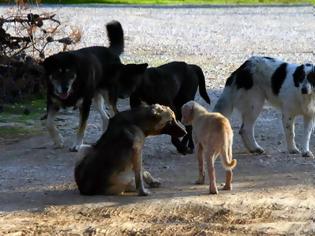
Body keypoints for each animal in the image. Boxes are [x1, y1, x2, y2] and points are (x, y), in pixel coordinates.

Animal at [41, 21, 148, 152]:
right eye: (56, 73)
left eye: (70, 73)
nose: (64, 88)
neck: (74, 85)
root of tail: (110, 51)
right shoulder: (52, 102)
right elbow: (48, 123)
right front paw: (58, 140)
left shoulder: (85, 104)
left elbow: (82, 127)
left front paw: (77, 144)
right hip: (96, 98)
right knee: (106, 118)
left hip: (108, 96)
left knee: (114, 113)